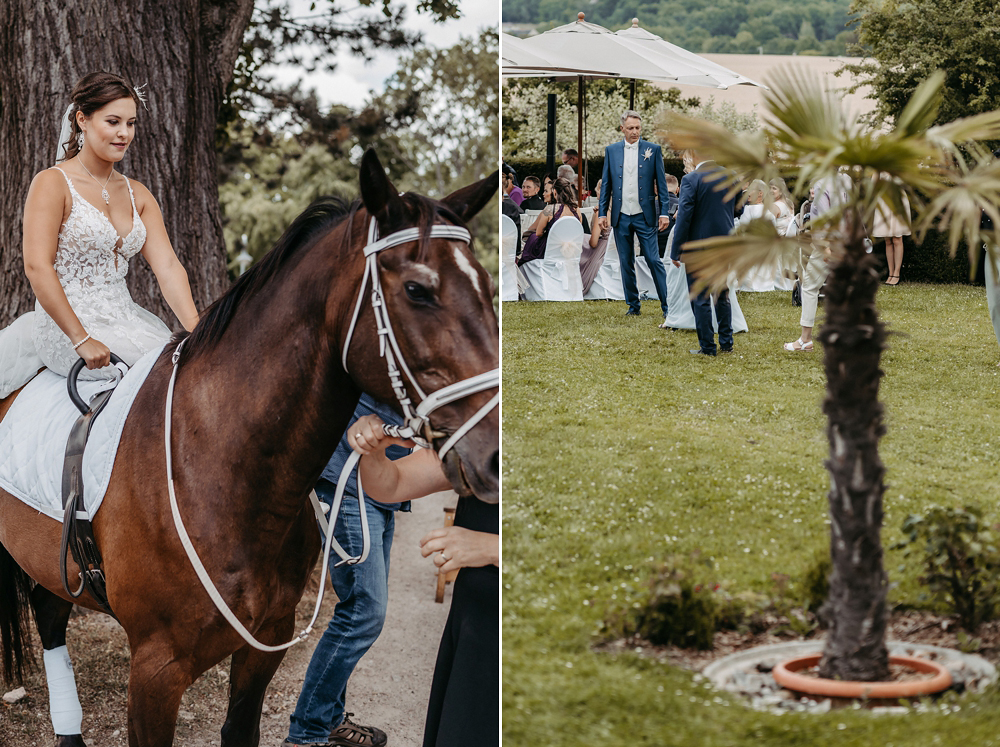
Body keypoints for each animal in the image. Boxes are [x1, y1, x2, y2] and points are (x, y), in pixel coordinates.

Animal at [0, 152, 500, 747]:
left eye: (488, 285)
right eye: (418, 290)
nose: (494, 456)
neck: (218, 468)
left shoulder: (266, 644)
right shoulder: (155, 671)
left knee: (48, 612)